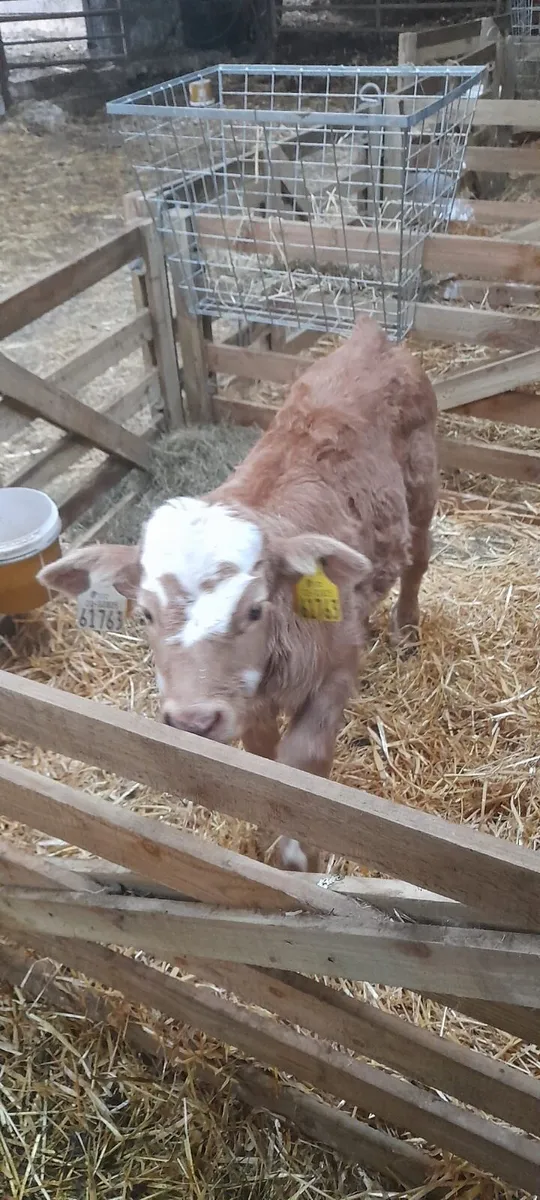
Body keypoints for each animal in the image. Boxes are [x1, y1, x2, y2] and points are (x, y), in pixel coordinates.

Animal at [39, 316, 438, 872]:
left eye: (254, 609)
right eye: (144, 615)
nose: (193, 719)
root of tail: (369, 336)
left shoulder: (339, 665)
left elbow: (303, 760)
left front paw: (301, 854)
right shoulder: (249, 702)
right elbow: (263, 762)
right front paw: (272, 842)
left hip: (424, 480)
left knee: (418, 558)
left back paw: (406, 630)